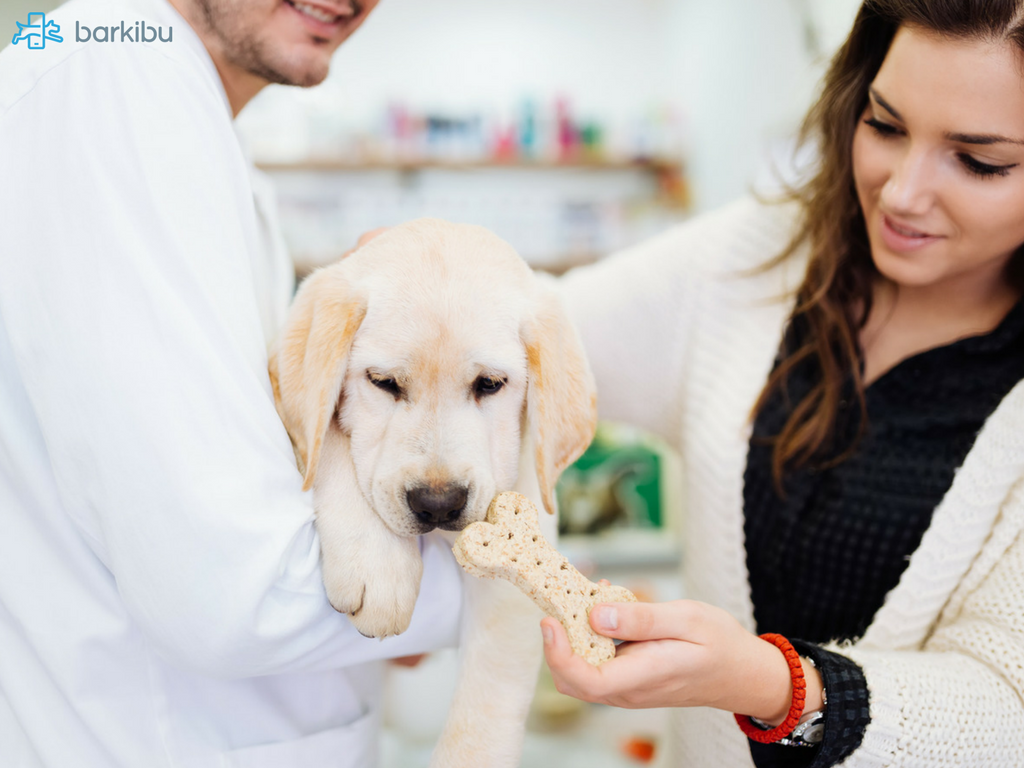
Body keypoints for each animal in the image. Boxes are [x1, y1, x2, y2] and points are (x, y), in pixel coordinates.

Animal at [268, 219, 598, 765]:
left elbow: (484, 709)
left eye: (490, 384)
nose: (438, 504)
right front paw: (377, 563)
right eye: (382, 382)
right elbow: (331, 436)